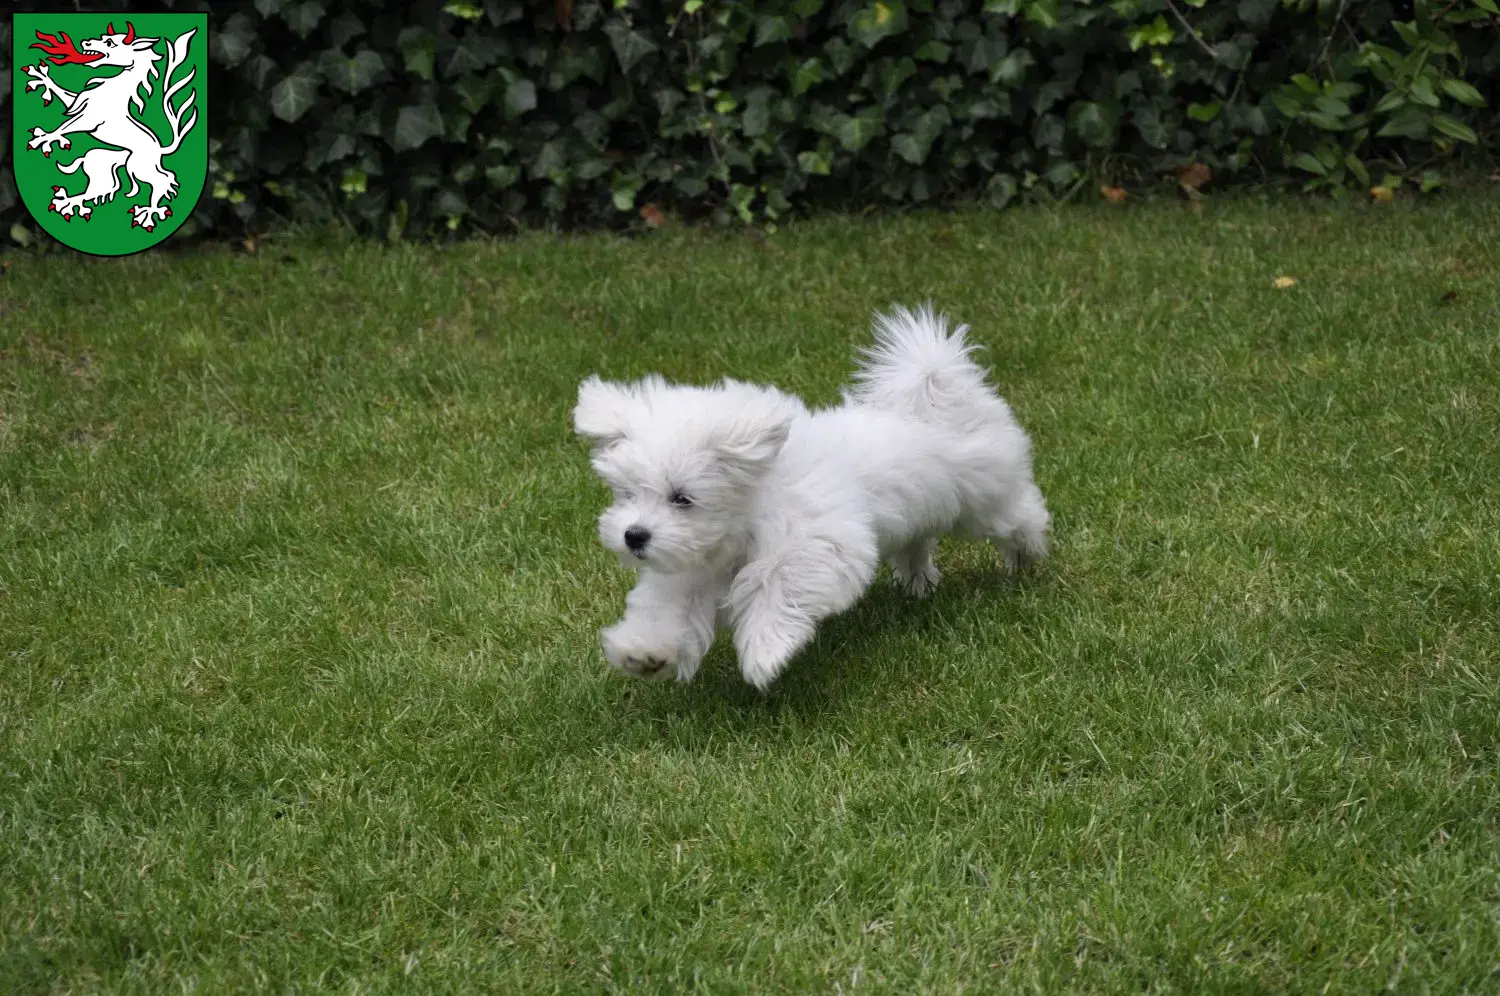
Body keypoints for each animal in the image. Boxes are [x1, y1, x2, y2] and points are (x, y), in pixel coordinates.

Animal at [567, 307, 1050, 690]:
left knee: (1020, 516)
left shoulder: (816, 543)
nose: (634, 536)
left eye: (682, 498)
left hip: (984, 499)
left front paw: (764, 652)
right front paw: (644, 652)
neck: (746, 513)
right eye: (627, 493)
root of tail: (933, 388)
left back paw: (1026, 559)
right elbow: (668, 610)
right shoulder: (693, 568)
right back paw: (919, 583)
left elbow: (778, 583)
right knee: (918, 542)